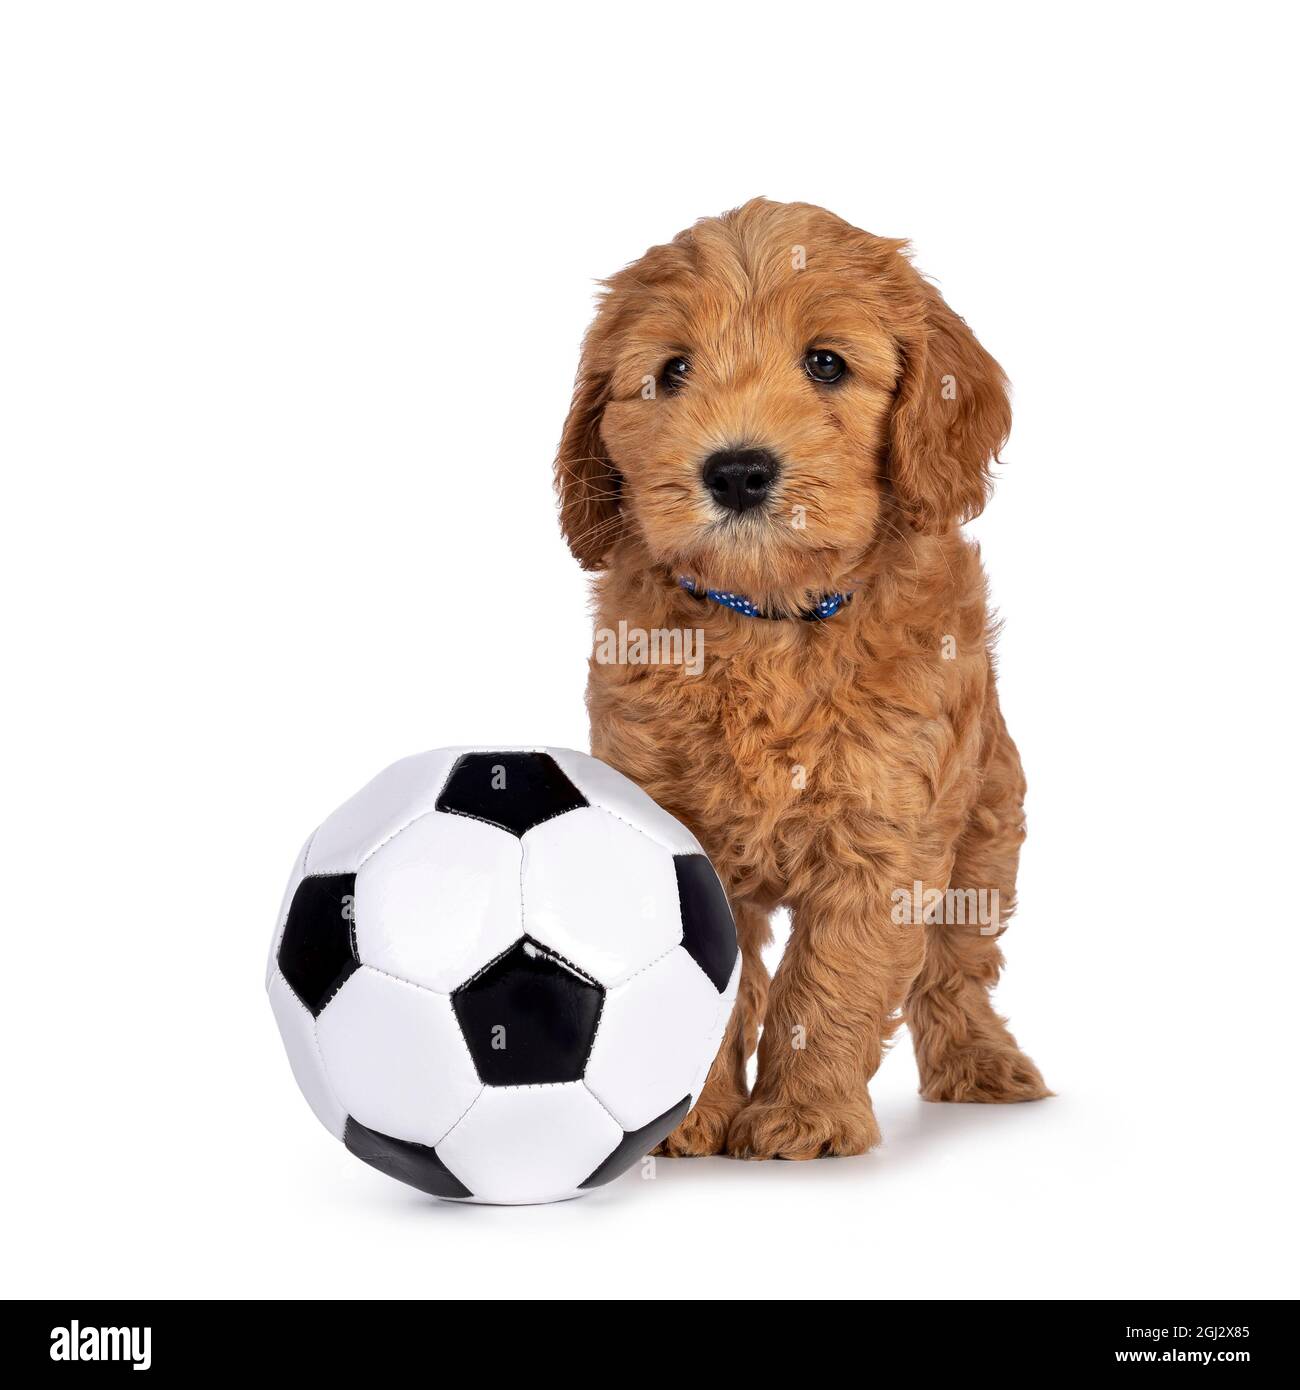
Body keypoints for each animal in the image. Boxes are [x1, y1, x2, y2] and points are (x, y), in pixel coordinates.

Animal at [553, 198, 1051, 1162]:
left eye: (826, 362)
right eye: (671, 371)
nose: (739, 471)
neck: (770, 622)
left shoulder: (887, 828)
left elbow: (831, 979)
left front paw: (803, 1116)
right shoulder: (665, 809)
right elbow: (715, 985)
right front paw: (687, 1122)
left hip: (986, 826)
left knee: (957, 969)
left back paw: (981, 1064)